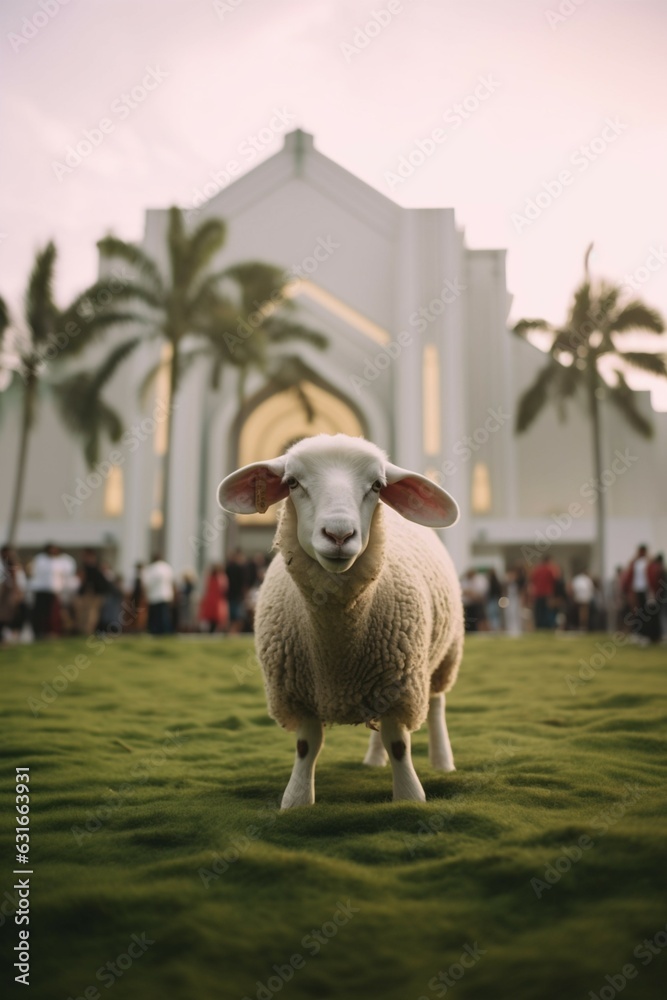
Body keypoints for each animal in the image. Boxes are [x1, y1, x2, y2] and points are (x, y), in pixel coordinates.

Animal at [219, 434, 464, 808]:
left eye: (377, 486)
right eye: (293, 482)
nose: (338, 535)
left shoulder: (400, 687)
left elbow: (399, 744)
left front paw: (409, 798)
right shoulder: (298, 693)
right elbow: (307, 746)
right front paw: (297, 800)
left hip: (444, 655)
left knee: (436, 703)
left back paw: (442, 761)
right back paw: (374, 760)